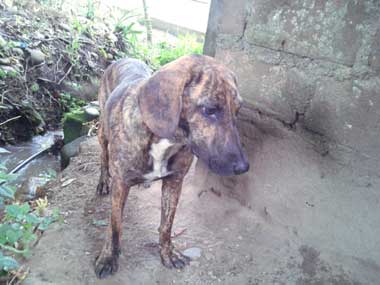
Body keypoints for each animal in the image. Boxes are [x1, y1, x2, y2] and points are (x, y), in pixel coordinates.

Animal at [95, 54, 249, 276]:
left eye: (238, 110)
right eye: (210, 110)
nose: (243, 167)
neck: (167, 138)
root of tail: (123, 58)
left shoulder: (174, 182)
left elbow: (167, 225)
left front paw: (168, 254)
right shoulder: (121, 185)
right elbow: (115, 226)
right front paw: (108, 257)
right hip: (102, 132)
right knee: (103, 156)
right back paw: (102, 181)